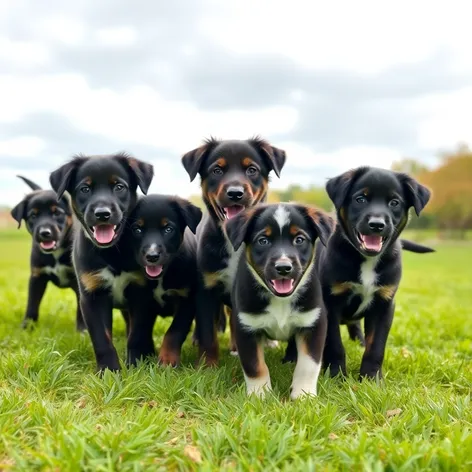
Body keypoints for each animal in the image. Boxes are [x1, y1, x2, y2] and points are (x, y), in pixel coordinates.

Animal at [10, 174, 85, 332]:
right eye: (33, 215)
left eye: (56, 213)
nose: (45, 233)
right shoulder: (37, 276)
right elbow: (32, 305)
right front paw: (26, 328)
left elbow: (81, 309)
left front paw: (82, 330)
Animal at [49, 153, 154, 370]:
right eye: (85, 189)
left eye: (119, 187)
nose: (102, 213)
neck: (112, 251)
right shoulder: (92, 296)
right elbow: (102, 339)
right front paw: (109, 371)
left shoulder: (140, 291)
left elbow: (137, 334)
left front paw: (136, 365)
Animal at [121, 194, 201, 366]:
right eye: (137, 229)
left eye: (168, 229)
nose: (152, 256)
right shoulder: (140, 299)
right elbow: (137, 332)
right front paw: (134, 361)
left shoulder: (186, 300)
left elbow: (175, 332)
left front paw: (168, 360)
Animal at [181, 136, 286, 366]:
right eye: (217, 170)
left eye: (252, 170)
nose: (235, 193)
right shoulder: (206, 287)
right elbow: (208, 333)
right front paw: (207, 365)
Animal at [225, 203, 332, 398]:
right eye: (263, 241)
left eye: (299, 240)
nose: (283, 267)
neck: (280, 300)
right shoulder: (247, 326)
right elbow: (255, 366)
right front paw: (260, 395)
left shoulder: (313, 322)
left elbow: (308, 365)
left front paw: (303, 395)